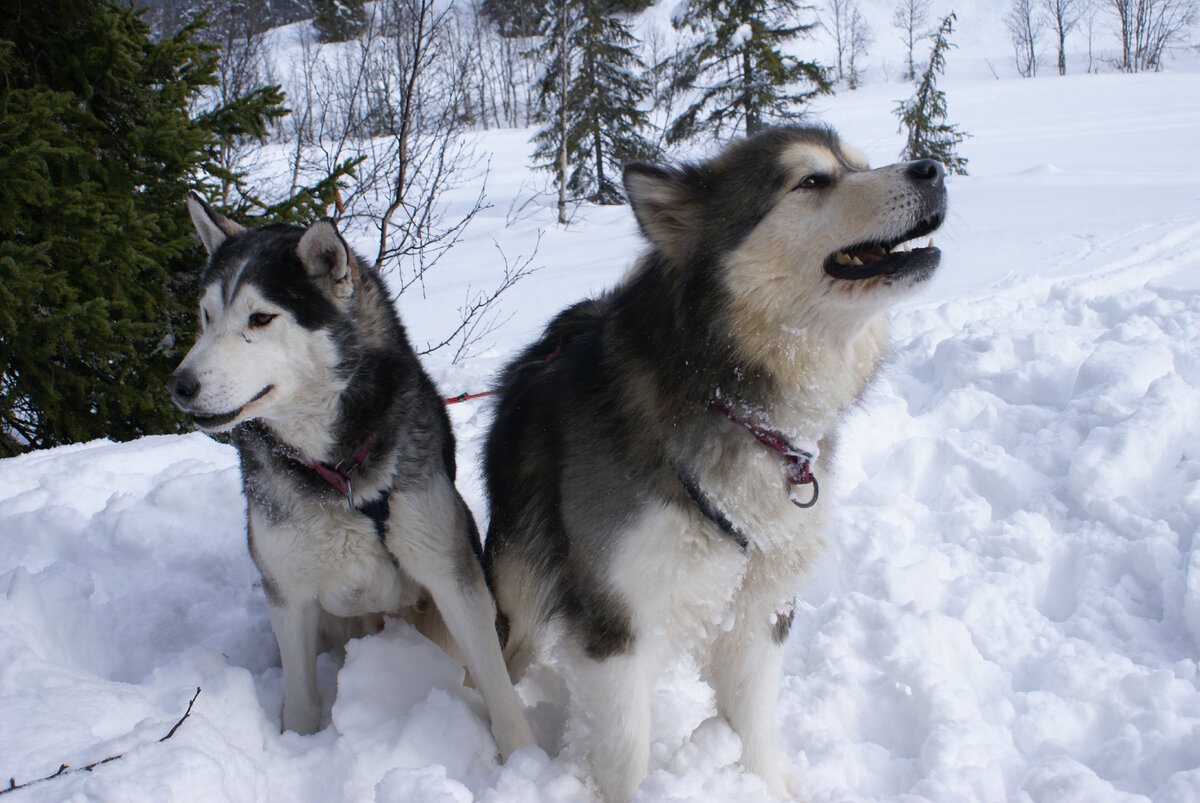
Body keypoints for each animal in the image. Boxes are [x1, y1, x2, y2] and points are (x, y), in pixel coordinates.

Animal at [166, 195, 532, 758]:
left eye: (261, 317)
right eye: (206, 316)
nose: (179, 386)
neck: (337, 471)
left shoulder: (448, 572)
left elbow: (496, 685)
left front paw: (523, 756)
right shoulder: (288, 593)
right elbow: (299, 698)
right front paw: (296, 748)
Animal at [484, 125, 945, 796]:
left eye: (860, 164)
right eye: (812, 180)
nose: (932, 168)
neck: (733, 397)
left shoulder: (761, 607)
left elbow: (753, 726)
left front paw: (766, 786)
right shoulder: (619, 621)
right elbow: (625, 754)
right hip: (519, 587)